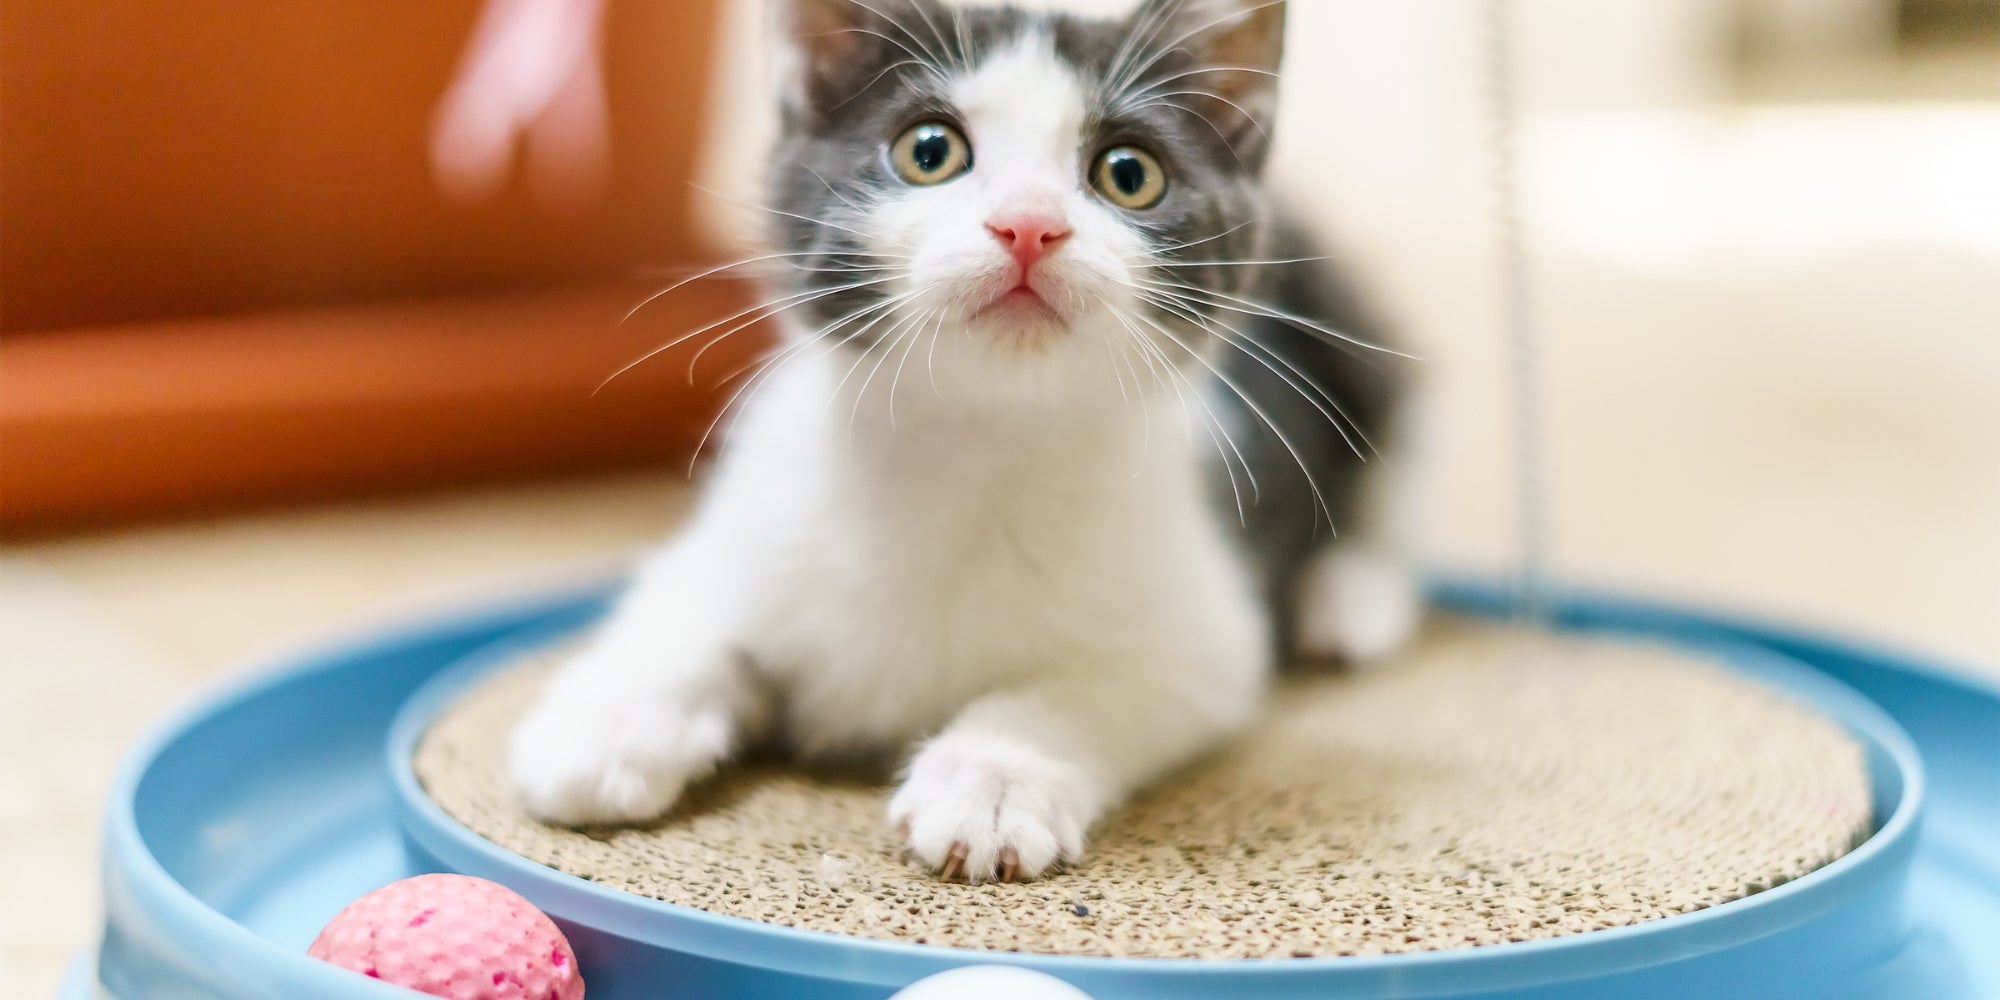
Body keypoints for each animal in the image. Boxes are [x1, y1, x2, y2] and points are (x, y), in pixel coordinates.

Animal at [516, 0, 1424, 884]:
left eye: (1129, 174)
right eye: (929, 151)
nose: (1027, 225)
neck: (974, 446)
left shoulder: (1206, 633)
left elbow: (1087, 688)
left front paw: (994, 782)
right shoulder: (748, 530)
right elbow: (686, 614)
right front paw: (602, 726)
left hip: (1359, 339)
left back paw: (1349, 601)